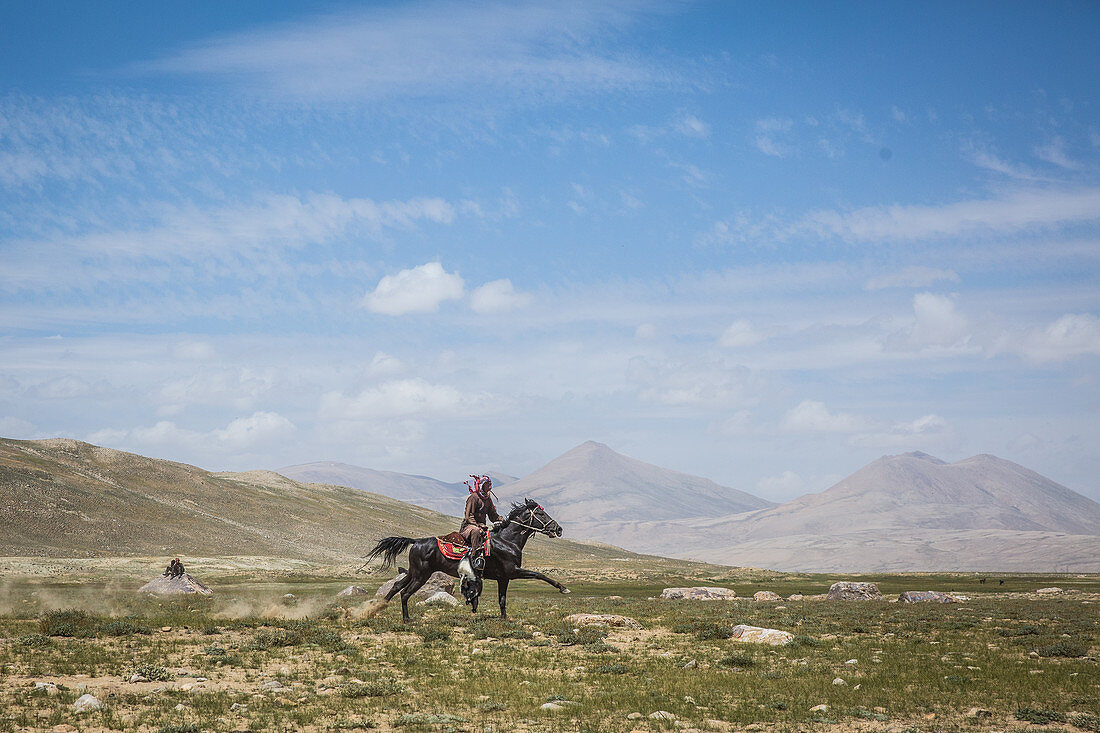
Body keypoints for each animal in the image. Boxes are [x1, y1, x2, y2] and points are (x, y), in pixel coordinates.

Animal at [367, 493, 567, 620]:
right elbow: (539, 575)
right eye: (540, 513)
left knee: (396, 587)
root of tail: (416, 541)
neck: (507, 541)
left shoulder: (504, 578)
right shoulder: (513, 571)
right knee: (405, 593)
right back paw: (406, 619)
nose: (558, 529)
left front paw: (504, 619)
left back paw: (377, 609)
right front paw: (563, 588)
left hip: (414, 572)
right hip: (421, 575)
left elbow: (502, 600)